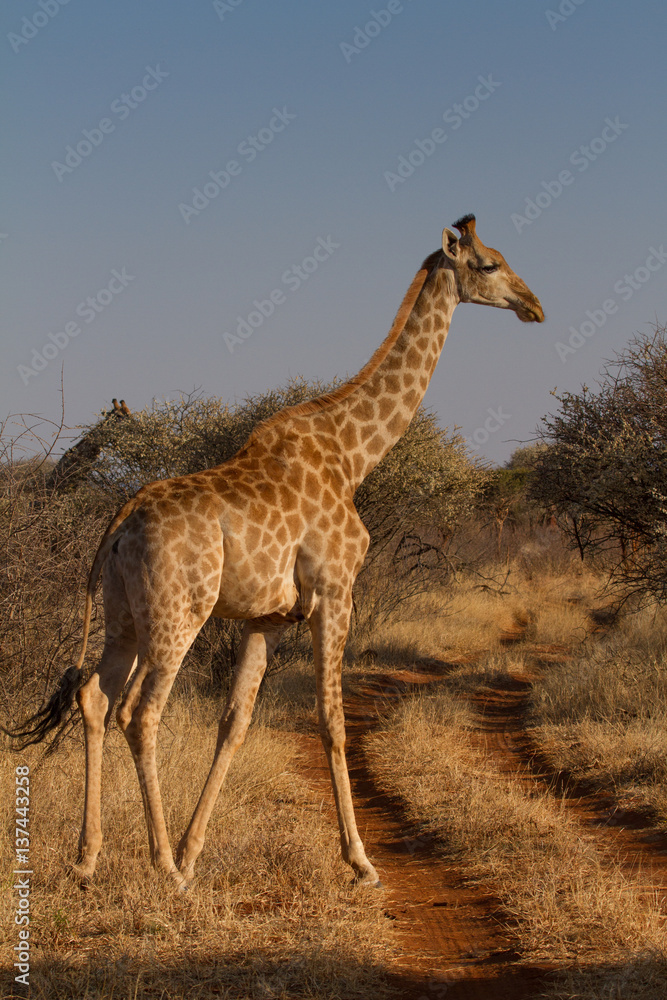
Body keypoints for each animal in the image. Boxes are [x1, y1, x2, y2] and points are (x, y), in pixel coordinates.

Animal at [10, 215, 544, 889]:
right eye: (491, 264)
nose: (534, 305)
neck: (353, 455)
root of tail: (121, 521)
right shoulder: (337, 591)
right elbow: (332, 720)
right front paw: (360, 861)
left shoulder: (266, 617)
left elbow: (235, 722)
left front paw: (194, 849)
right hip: (178, 613)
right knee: (140, 711)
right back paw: (163, 870)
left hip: (123, 615)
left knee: (95, 697)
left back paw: (88, 858)